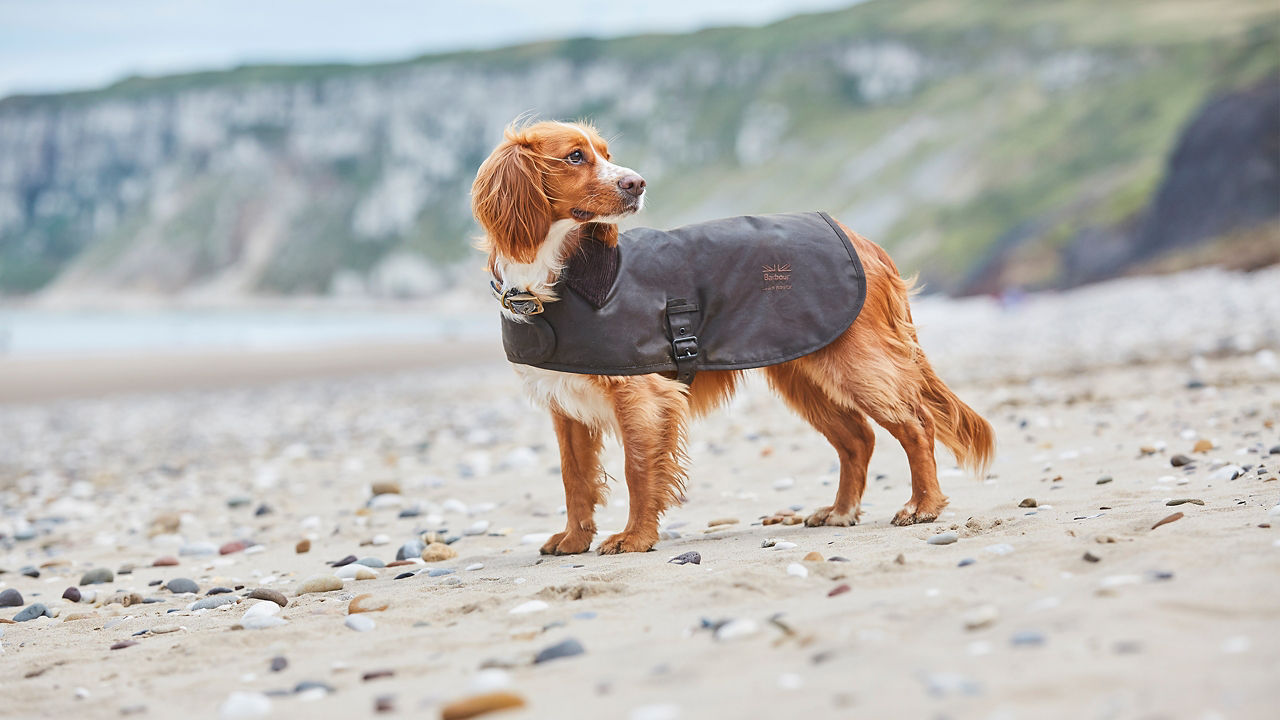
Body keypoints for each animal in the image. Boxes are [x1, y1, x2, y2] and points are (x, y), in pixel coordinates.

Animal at [476, 119, 993, 556]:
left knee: (915, 425)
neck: (557, 277)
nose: (637, 183)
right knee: (857, 440)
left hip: (858, 364)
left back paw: (923, 505)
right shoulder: (565, 406)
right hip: (804, 375)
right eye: (575, 156)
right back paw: (841, 511)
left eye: (606, 154)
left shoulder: (641, 396)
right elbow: (574, 477)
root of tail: (860, 239)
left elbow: (638, 468)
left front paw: (636, 538)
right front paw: (573, 539)